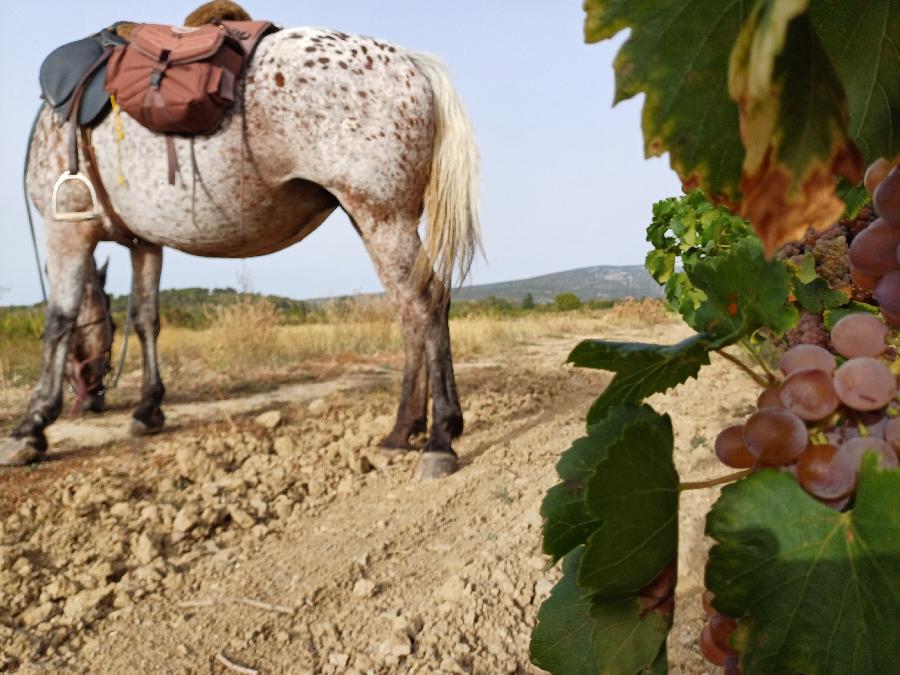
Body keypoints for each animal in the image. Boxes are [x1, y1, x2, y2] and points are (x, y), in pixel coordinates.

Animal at [1, 26, 478, 484]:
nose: (96, 400)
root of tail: (409, 60)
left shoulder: (67, 229)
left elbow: (59, 321)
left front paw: (30, 427)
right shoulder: (146, 244)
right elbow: (146, 318)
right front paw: (148, 410)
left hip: (383, 217)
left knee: (426, 301)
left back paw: (439, 439)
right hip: (372, 220)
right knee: (410, 310)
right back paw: (402, 430)